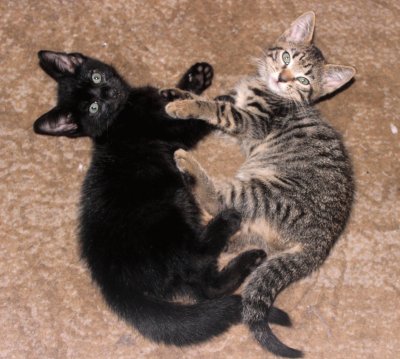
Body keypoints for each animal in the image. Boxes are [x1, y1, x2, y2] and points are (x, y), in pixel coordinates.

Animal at [161, 10, 354, 358]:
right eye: (286, 56)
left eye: (304, 81)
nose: (283, 77)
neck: (267, 89)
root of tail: (321, 241)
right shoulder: (238, 111)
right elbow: (217, 100)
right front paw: (177, 93)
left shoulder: (252, 121)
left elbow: (215, 108)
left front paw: (184, 105)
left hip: (264, 188)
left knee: (218, 201)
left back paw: (187, 164)